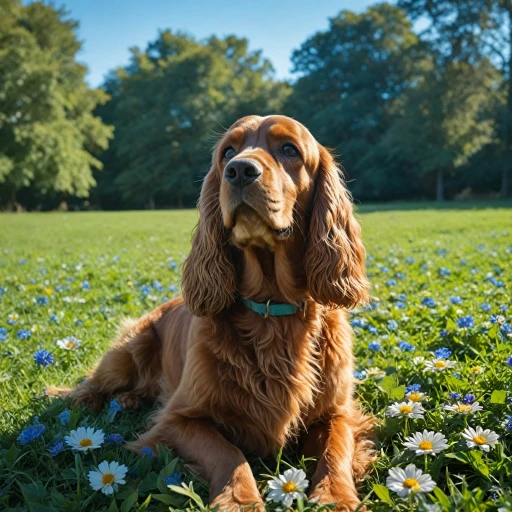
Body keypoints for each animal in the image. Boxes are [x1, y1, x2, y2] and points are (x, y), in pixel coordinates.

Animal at [60, 117, 374, 512]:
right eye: (227, 152)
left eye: (289, 149)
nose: (239, 170)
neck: (270, 311)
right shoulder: (177, 419)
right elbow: (226, 450)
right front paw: (239, 499)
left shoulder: (339, 412)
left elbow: (336, 449)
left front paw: (334, 496)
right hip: (127, 353)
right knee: (89, 382)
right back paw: (91, 399)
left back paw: (129, 399)